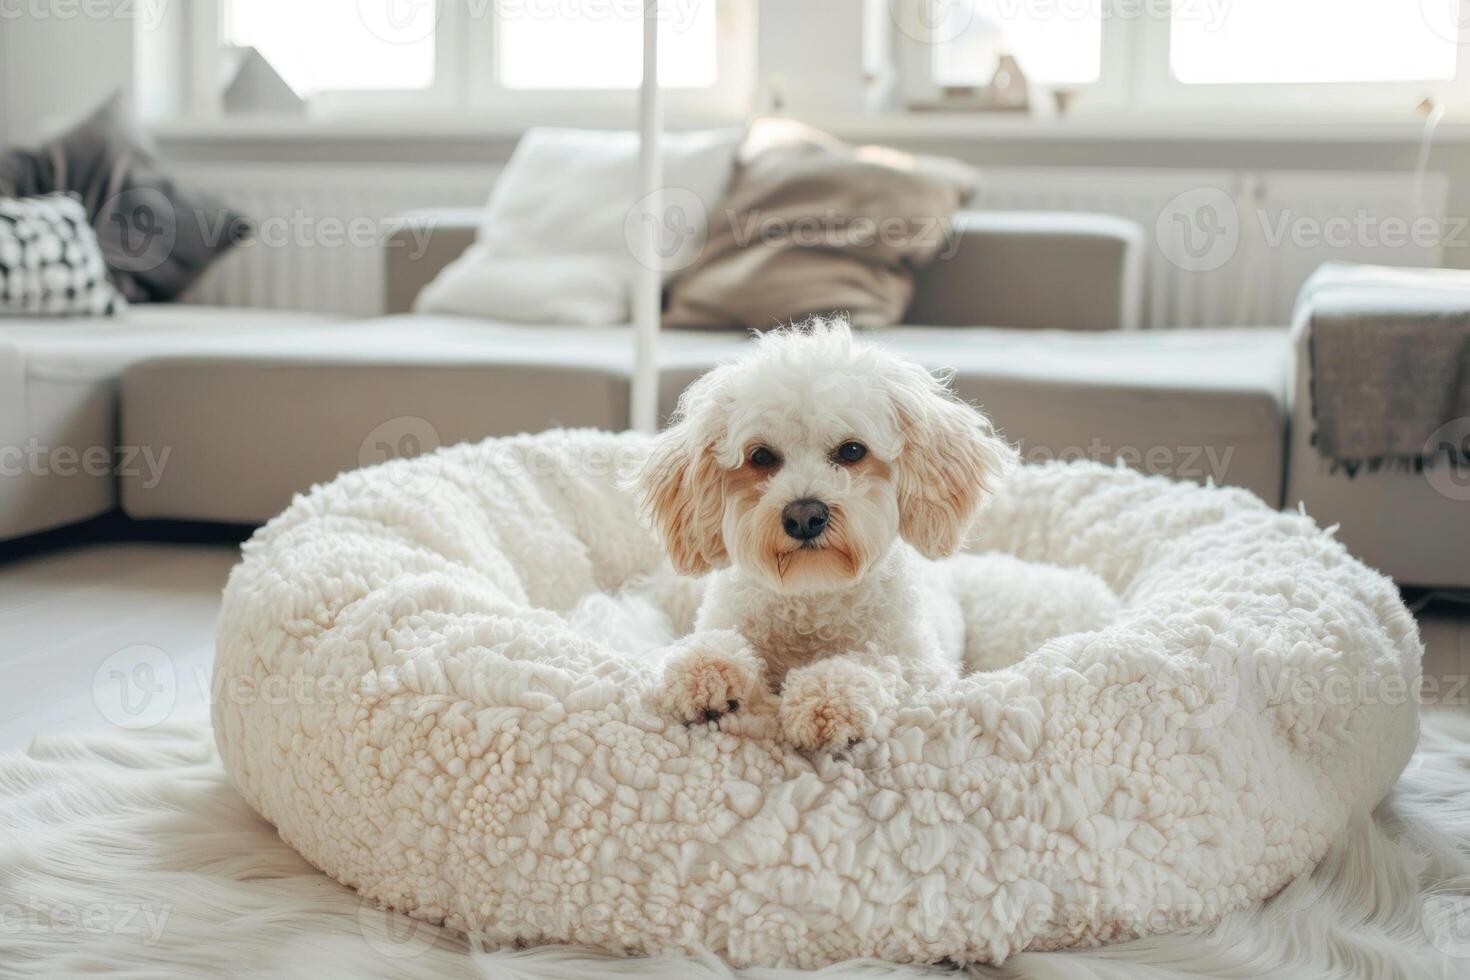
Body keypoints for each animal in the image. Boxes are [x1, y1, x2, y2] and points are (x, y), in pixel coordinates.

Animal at [632, 320, 1023, 752]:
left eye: (852, 450)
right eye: (761, 457)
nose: (804, 516)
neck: (812, 597)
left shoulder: (923, 668)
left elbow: (878, 662)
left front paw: (827, 696)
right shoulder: (726, 619)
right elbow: (715, 642)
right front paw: (704, 669)